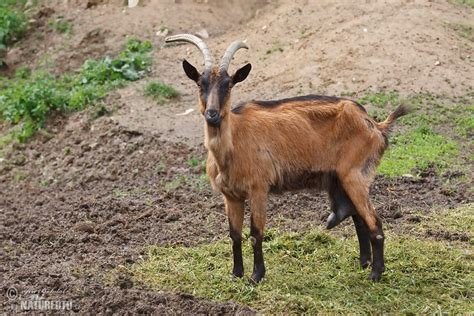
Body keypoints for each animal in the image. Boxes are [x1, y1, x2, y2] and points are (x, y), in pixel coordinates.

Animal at [165, 34, 410, 282]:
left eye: (229, 84)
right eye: (200, 84)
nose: (212, 114)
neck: (232, 145)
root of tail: (375, 124)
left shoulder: (258, 189)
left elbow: (255, 233)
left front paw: (256, 276)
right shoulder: (231, 196)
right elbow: (234, 235)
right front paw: (236, 274)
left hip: (355, 175)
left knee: (374, 222)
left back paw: (375, 273)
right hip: (340, 178)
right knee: (358, 217)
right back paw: (362, 261)